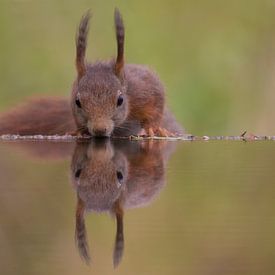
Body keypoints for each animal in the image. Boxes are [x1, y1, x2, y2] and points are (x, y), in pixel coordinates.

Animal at [0, 8, 185, 138]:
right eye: (77, 102)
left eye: (120, 100)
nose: (99, 129)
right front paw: (79, 132)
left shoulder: (144, 88)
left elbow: (157, 102)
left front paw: (153, 128)